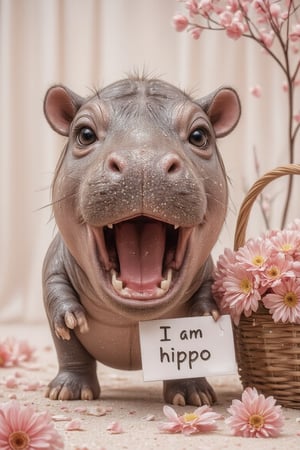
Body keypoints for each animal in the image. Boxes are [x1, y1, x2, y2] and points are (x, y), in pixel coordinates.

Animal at [42, 75, 240, 406]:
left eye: (199, 135)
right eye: (84, 134)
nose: (143, 161)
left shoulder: (208, 269)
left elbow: (208, 290)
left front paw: (205, 313)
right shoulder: (55, 258)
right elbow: (54, 288)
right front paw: (69, 317)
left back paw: (193, 395)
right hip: (70, 354)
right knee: (70, 352)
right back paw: (68, 392)